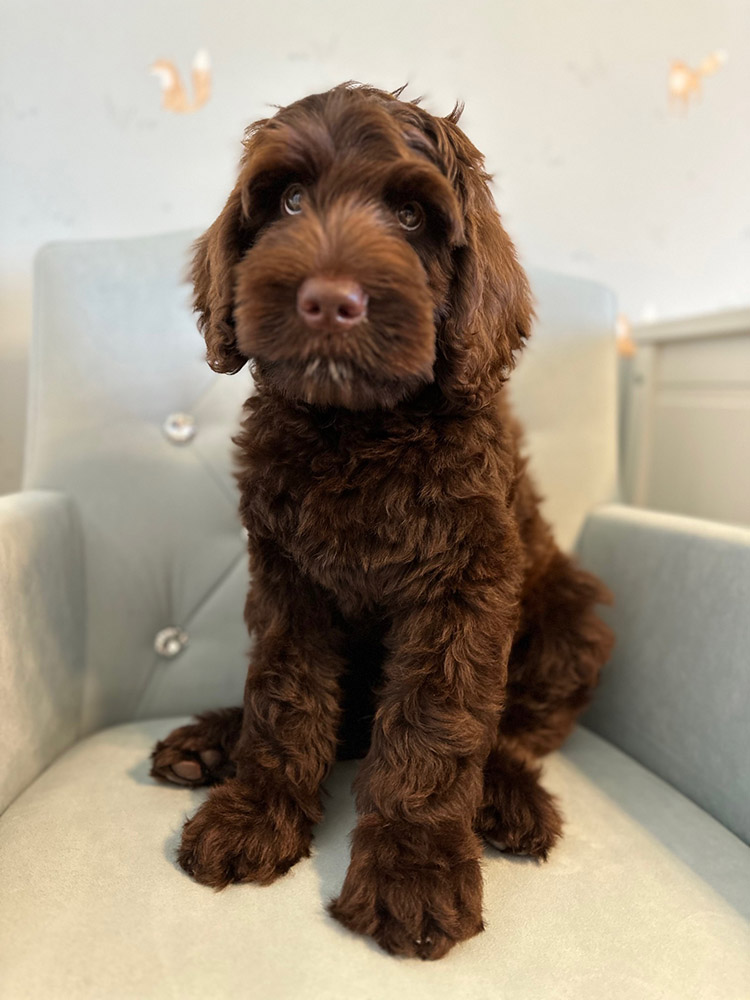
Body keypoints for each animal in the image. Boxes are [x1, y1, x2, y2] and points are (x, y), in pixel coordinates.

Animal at [150, 84, 612, 960]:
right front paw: (256, 811)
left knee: (516, 729)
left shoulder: (464, 585)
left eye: (409, 216)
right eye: (290, 201)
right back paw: (211, 742)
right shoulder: (288, 579)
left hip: (573, 614)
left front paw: (414, 872)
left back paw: (508, 797)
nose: (329, 301)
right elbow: (286, 696)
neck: (358, 429)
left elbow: (438, 723)